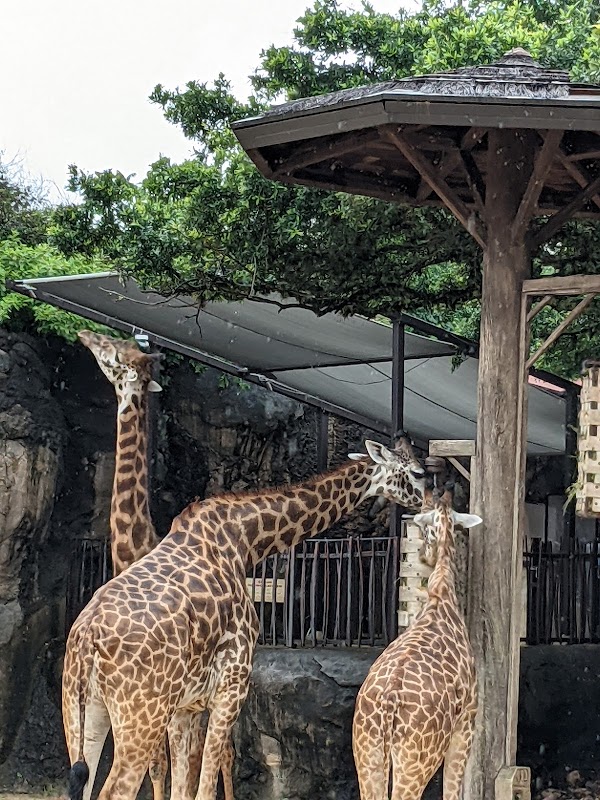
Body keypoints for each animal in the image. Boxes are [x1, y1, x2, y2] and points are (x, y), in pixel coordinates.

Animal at [62, 437, 426, 800]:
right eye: (419, 472)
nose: (429, 500)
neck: (246, 540)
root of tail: (88, 637)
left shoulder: (184, 707)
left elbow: (184, 787)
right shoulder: (231, 687)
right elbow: (204, 787)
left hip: (83, 712)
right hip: (141, 716)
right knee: (115, 790)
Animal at [77, 331, 233, 800]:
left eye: (113, 352)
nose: (84, 334)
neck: (135, 547)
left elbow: (164, 764)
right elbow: (159, 765)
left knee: (223, 753)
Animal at [352, 484, 482, 800]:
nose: (423, 555)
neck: (441, 593)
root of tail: (387, 704)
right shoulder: (467, 721)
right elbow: (452, 790)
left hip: (366, 752)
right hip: (417, 759)